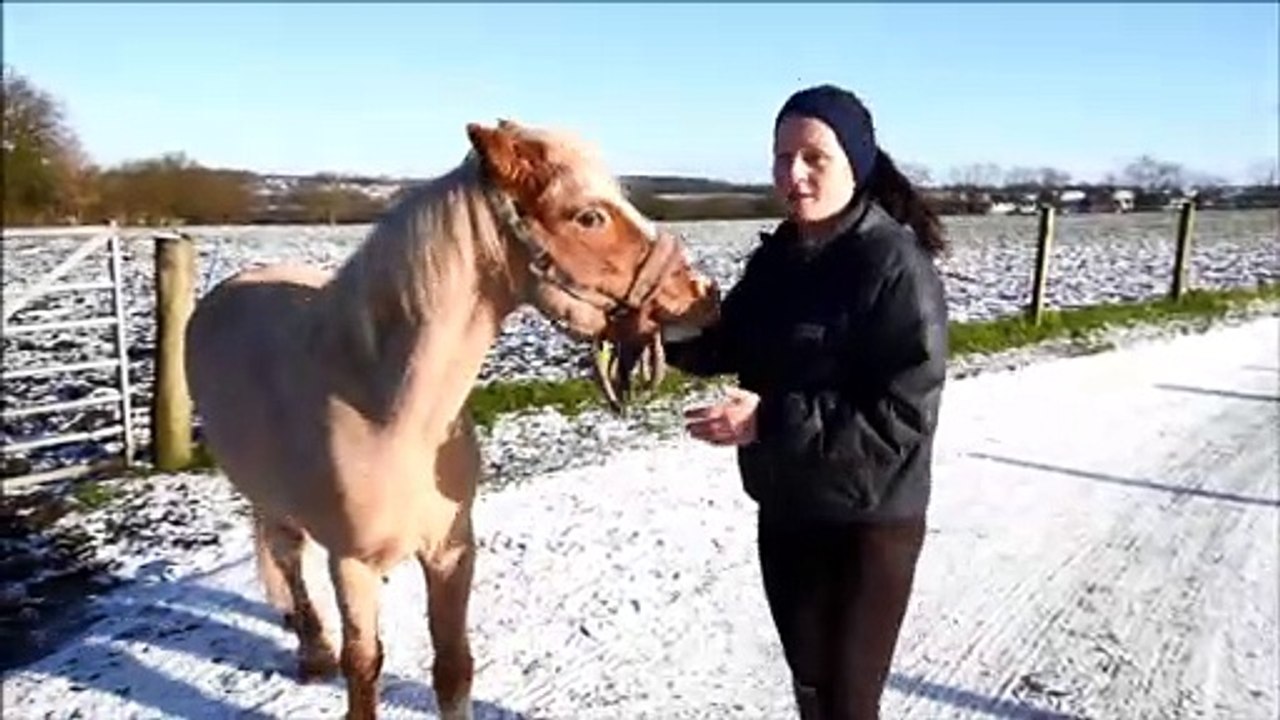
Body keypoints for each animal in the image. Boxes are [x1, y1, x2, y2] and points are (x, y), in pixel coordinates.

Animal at [183, 119, 722, 720]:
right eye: (589, 216)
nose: (704, 296)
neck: (391, 417)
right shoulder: (351, 564)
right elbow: (363, 668)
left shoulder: (451, 550)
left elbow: (453, 668)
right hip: (272, 504)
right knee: (288, 561)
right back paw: (314, 651)